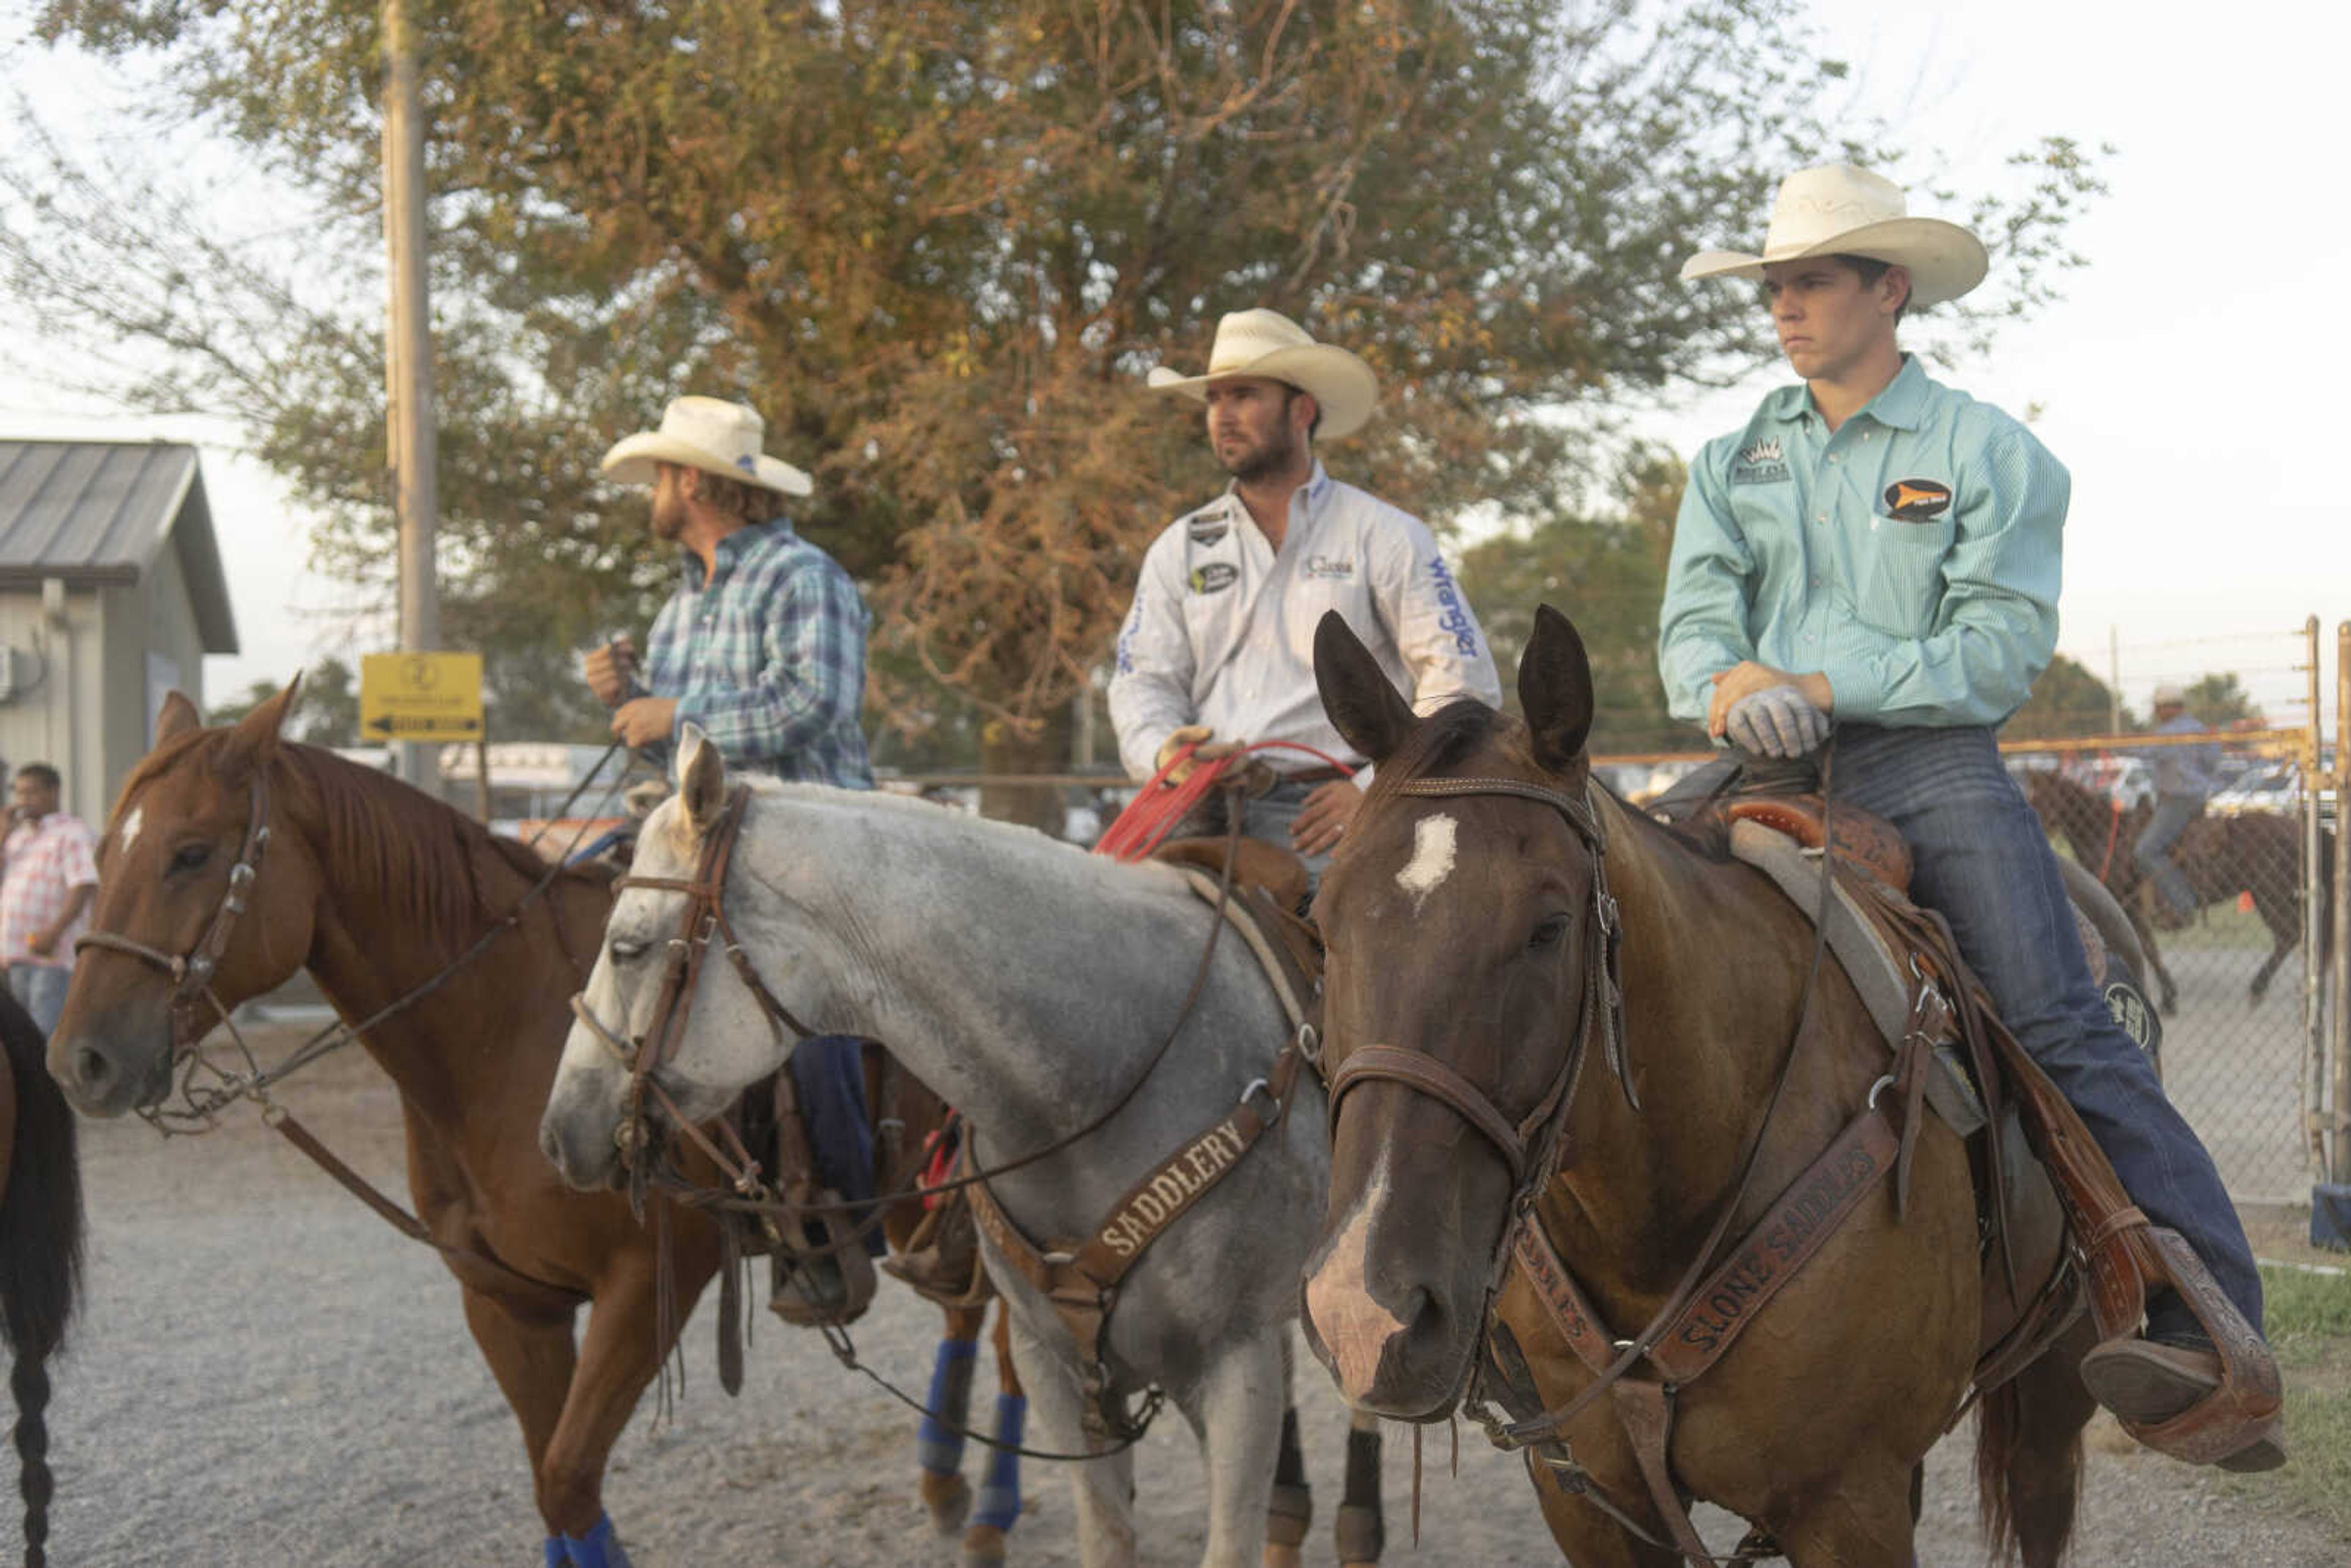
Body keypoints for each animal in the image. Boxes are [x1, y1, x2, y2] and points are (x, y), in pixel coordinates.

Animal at [45, 691, 1020, 1568]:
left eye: (191, 852)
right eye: (100, 849)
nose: (78, 1060)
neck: (505, 1029)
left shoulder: (647, 1285)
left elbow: (567, 1477)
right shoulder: (507, 1297)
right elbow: (553, 1488)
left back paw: (988, 1516)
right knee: (967, 1310)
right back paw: (944, 1484)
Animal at [538, 733, 1335, 1568]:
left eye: (627, 946)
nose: (560, 1130)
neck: (1112, 1070)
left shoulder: (1238, 1363)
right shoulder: (1059, 1366)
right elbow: (1107, 1531)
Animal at [1307, 611, 2097, 1568]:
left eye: (1549, 927)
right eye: (1322, 922)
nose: (1362, 1311)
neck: (1659, 1226)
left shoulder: (1848, 1505)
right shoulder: (1588, 1502)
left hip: (2059, 1379)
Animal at [2022, 771, 2332, 1020]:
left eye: (2038, 796)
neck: (2108, 837)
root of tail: (2298, 826)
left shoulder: (2129, 907)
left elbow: (2148, 949)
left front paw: (2169, 999)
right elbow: (2150, 949)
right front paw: (2169, 996)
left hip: (2270, 894)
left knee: (2289, 936)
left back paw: (2261, 989)